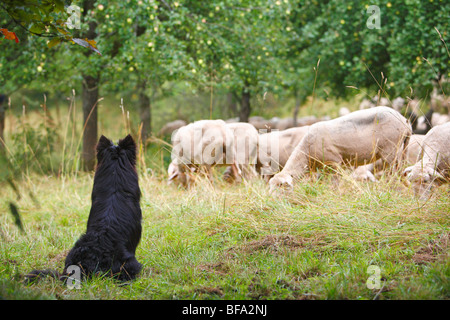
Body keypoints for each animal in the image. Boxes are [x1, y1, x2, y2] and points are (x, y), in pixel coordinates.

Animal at [268, 107, 414, 192]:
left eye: (281, 186)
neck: (305, 155)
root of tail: (404, 121)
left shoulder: (334, 162)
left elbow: (335, 183)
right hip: (401, 147)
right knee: (400, 171)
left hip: (390, 149)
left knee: (393, 173)